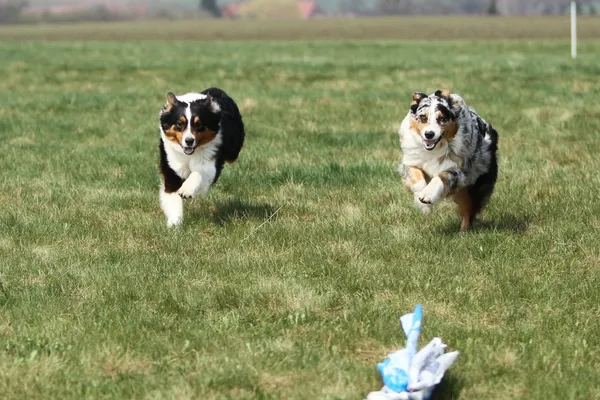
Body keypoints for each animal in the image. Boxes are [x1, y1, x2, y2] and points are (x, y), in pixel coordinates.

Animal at [159, 87, 246, 227]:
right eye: (179, 124)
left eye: (199, 124)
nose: (189, 141)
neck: (190, 154)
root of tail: (216, 89)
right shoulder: (171, 166)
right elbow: (172, 195)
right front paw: (174, 223)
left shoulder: (211, 165)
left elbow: (198, 173)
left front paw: (187, 190)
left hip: (233, 151)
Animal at [398, 88, 496, 230]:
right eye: (422, 117)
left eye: (442, 118)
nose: (429, 134)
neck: (436, 149)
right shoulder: (411, 161)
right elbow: (416, 176)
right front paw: (423, 202)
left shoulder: (460, 170)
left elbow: (441, 176)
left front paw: (427, 195)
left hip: (474, 183)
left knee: (468, 208)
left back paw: (464, 231)